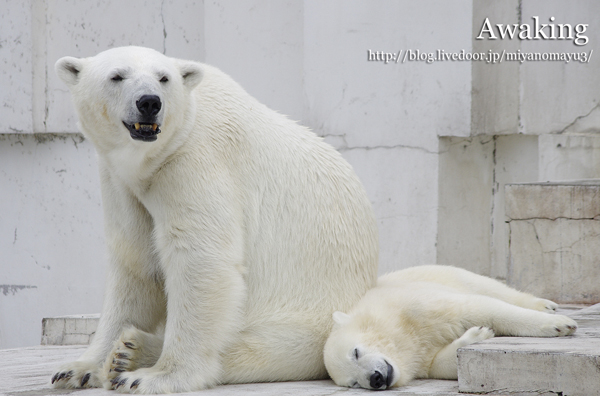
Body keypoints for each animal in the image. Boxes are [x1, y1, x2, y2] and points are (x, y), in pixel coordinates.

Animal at [52, 46, 380, 392]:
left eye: (163, 78)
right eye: (116, 76)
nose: (150, 102)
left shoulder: (195, 161)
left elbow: (201, 260)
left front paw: (154, 376)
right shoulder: (120, 183)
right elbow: (135, 264)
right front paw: (78, 368)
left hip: (309, 315)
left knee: (261, 347)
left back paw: (135, 352)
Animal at [326, 264, 580, 392]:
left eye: (355, 352)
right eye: (354, 383)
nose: (375, 378)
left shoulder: (412, 305)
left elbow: (477, 307)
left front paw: (560, 325)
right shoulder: (417, 356)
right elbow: (438, 363)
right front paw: (478, 334)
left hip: (445, 273)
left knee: (490, 288)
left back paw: (545, 306)